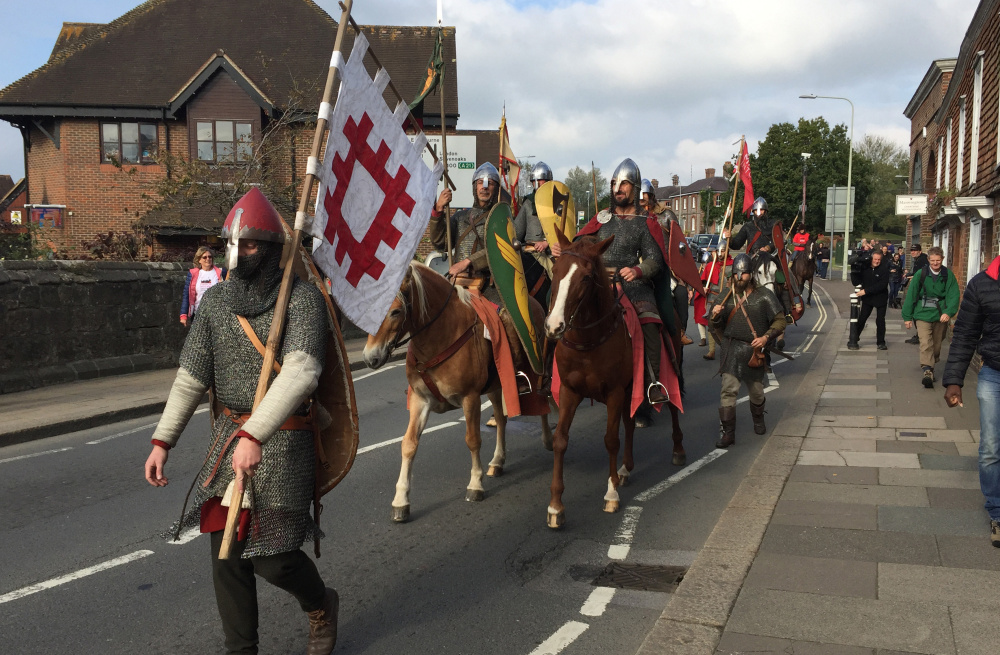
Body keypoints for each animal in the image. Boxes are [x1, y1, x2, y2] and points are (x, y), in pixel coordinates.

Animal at [366, 262, 556, 524]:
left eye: (395, 311)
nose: (370, 357)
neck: (440, 336)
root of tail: (532, 302)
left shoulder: (470, 398)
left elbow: (472, 440)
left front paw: (475, 485)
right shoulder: (419, 400)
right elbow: (409, 444)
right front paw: (401, 500)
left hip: (533, 370)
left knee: (541, 401)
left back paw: (548, 439)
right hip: (496, 385)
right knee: (501, 418)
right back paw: (498, 461)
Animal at [544, 233, 684, 532]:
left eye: (586, 277)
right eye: (556, 269)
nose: (554, 326)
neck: (589, 342)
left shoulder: (613, 392)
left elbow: (610, 439)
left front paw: (610, 495)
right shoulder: (569, 392)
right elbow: (560, 440)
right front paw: (556, 507)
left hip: (668, 369)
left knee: (672, 409)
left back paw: (678, 450)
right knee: (630, 423)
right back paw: (625, 469)